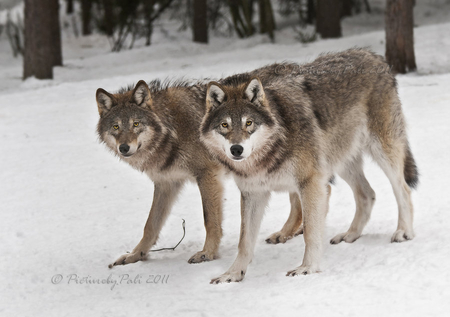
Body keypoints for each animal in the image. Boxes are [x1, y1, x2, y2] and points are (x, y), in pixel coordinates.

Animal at [95, 79, 306, 266]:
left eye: (136, 124)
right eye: (116, 127)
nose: (124, 147)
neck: (173, 129)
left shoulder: (207, 175)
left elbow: (209, 220)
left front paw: (207, 253)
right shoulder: (166, 184)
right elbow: (150, 225)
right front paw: (135, 255)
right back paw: (288, 233)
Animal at [200, 48, 418, 282]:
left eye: (248, 123)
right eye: (224, 125)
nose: (236, 149)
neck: (272, 148)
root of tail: (371, 54)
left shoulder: (310, 183)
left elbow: (311, 232)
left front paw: (307, 267)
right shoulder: (253, 193)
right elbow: (245, 242)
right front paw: (232, 274)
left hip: (382, 151)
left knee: (403, 189)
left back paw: (403, 231)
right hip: (339, 161)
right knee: (367, 194)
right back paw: (350, 235)